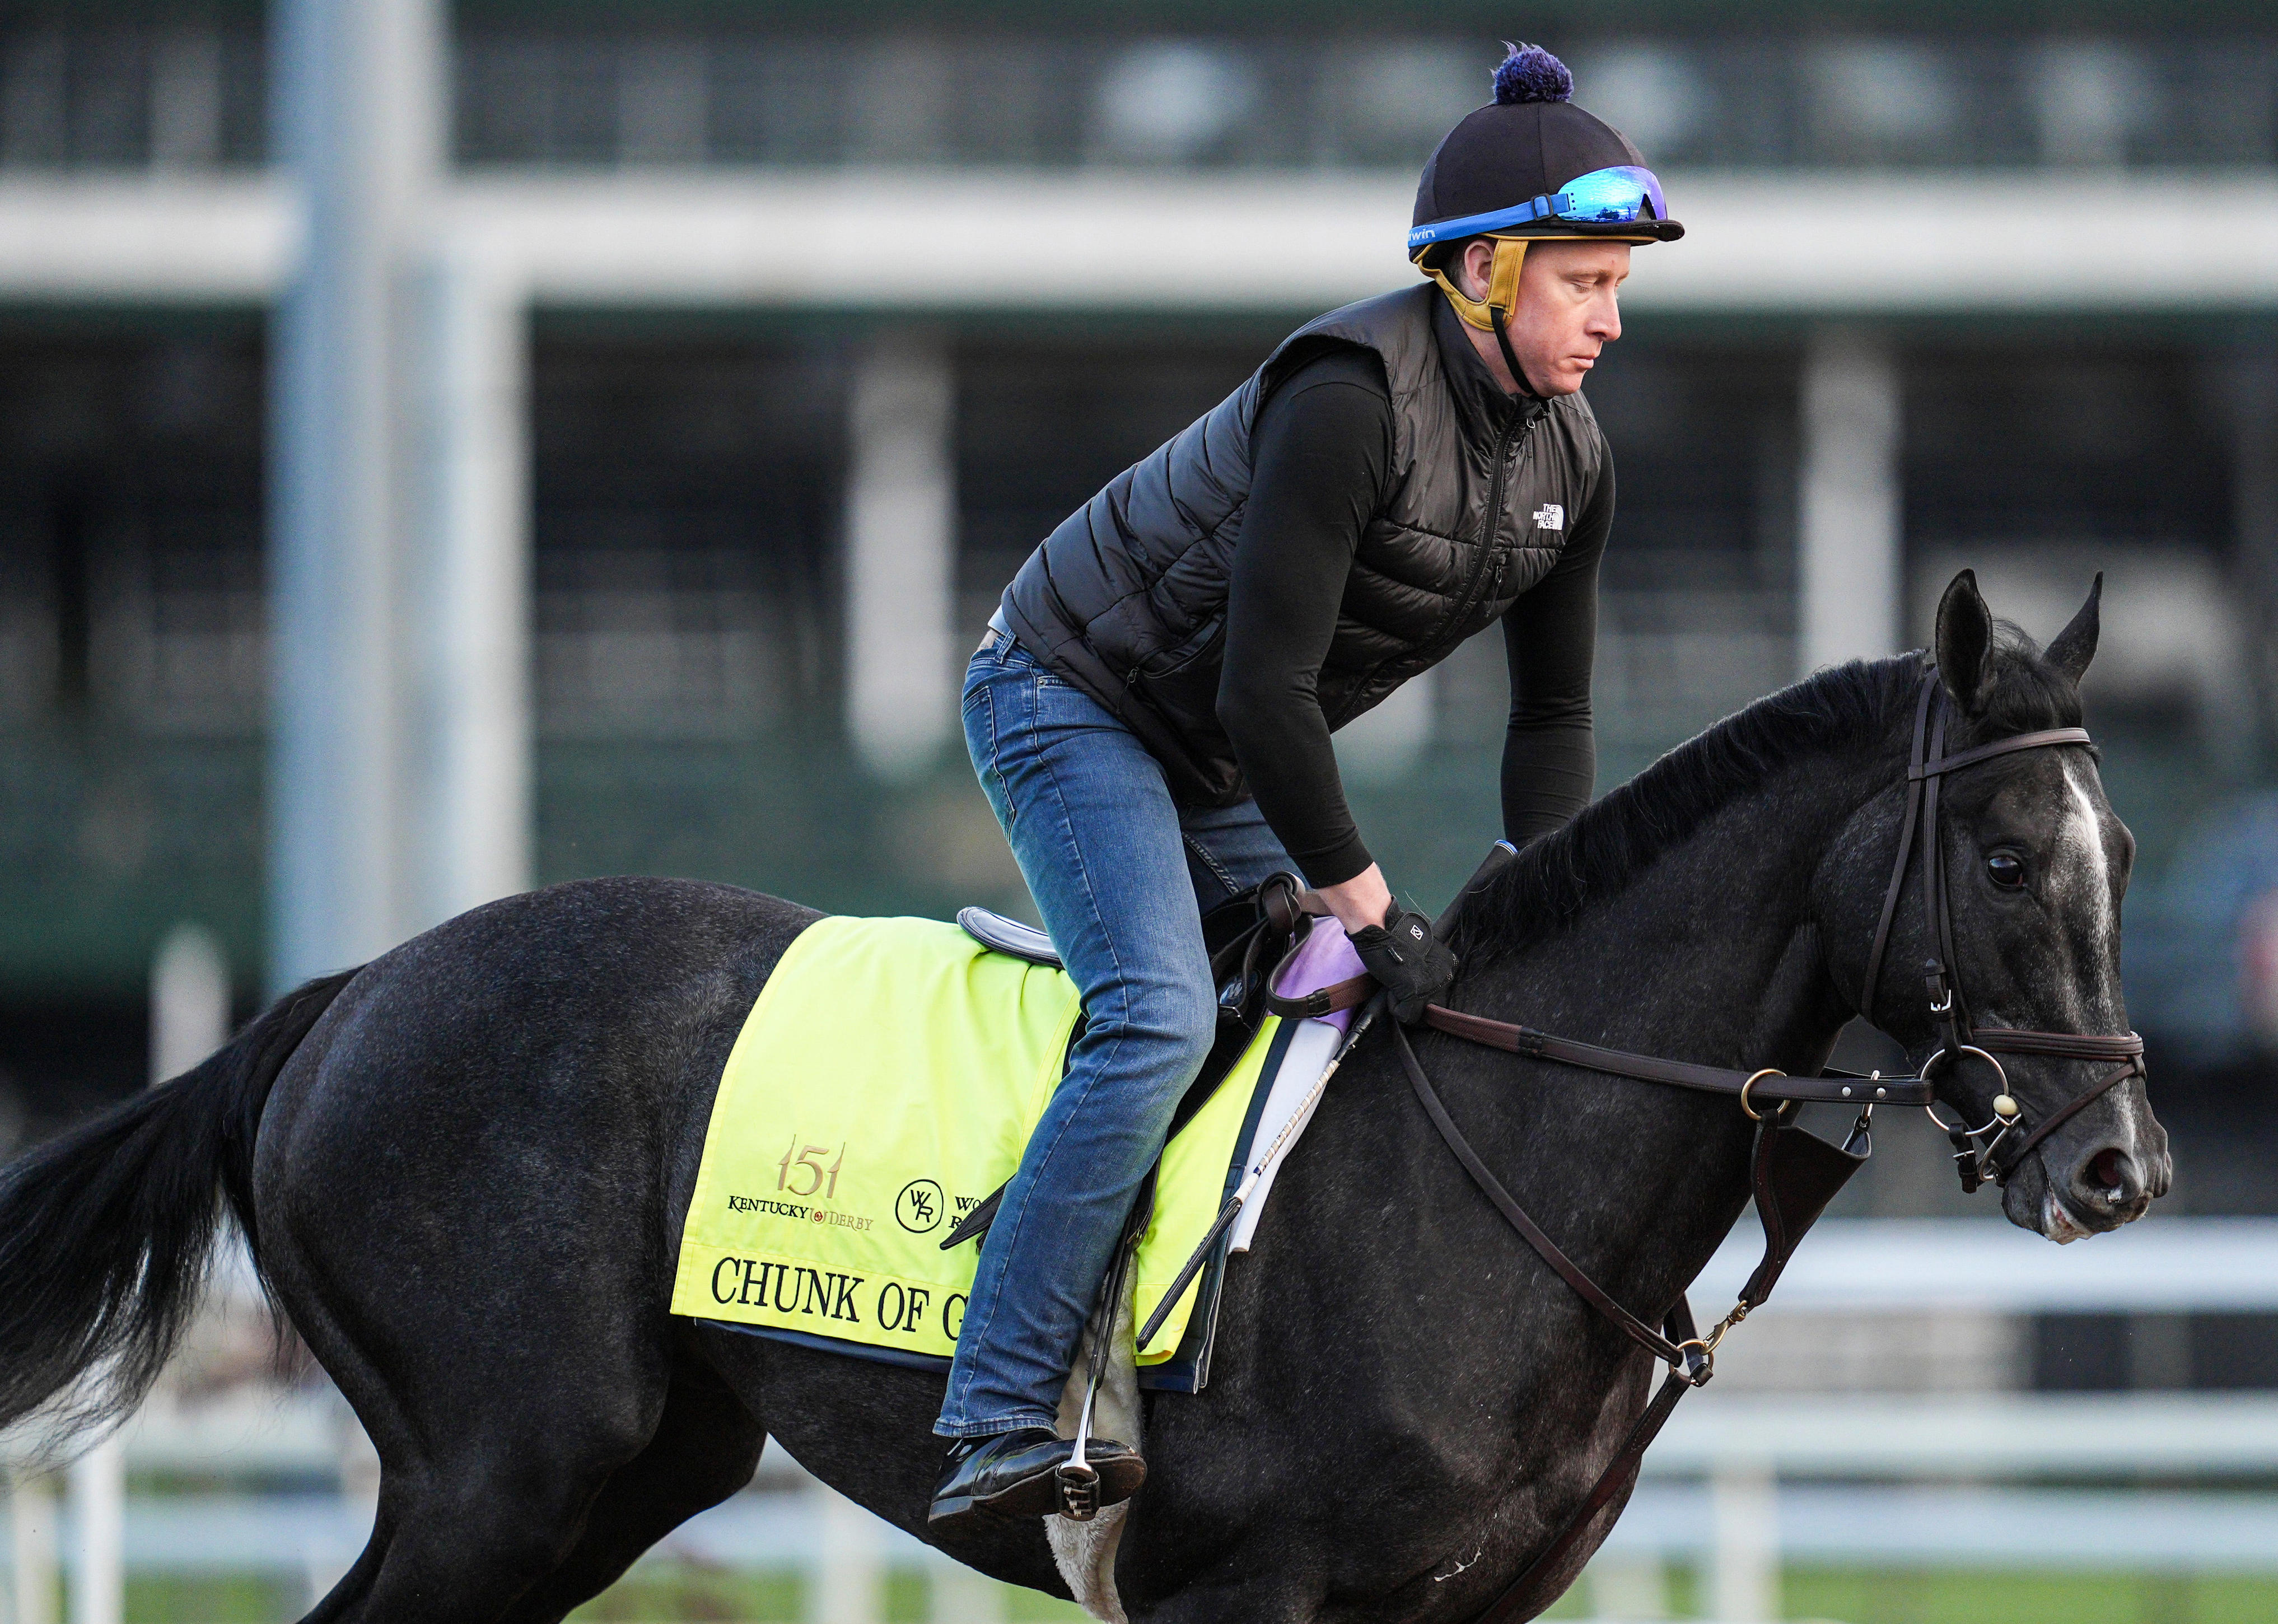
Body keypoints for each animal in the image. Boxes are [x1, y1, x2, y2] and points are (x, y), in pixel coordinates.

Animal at [0, 571, 2167, 1623]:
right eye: (2000, 862)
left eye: (2122, 851)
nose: (2118, 1169)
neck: (1500, 1161)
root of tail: (343, 997)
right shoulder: (1247, 1590)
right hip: (497, 1471)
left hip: (629, 1472)